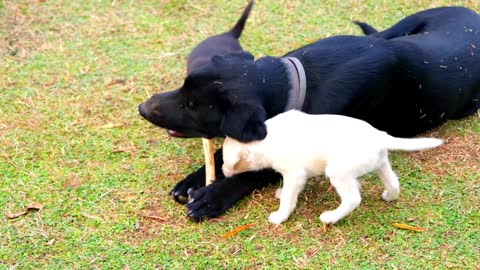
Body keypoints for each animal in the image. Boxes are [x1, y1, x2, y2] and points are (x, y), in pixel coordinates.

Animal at [221, 110, 442, 226]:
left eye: (224, 160)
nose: (222, 171)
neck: (265, 139)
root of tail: (379, 136)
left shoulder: (295, 175)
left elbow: (288, 199)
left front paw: (280, 216)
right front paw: (281, 193)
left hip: (337, 171)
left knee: (353, 199)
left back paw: (330, 217)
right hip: (380, 163)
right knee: (393, 182)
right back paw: (389, 195)